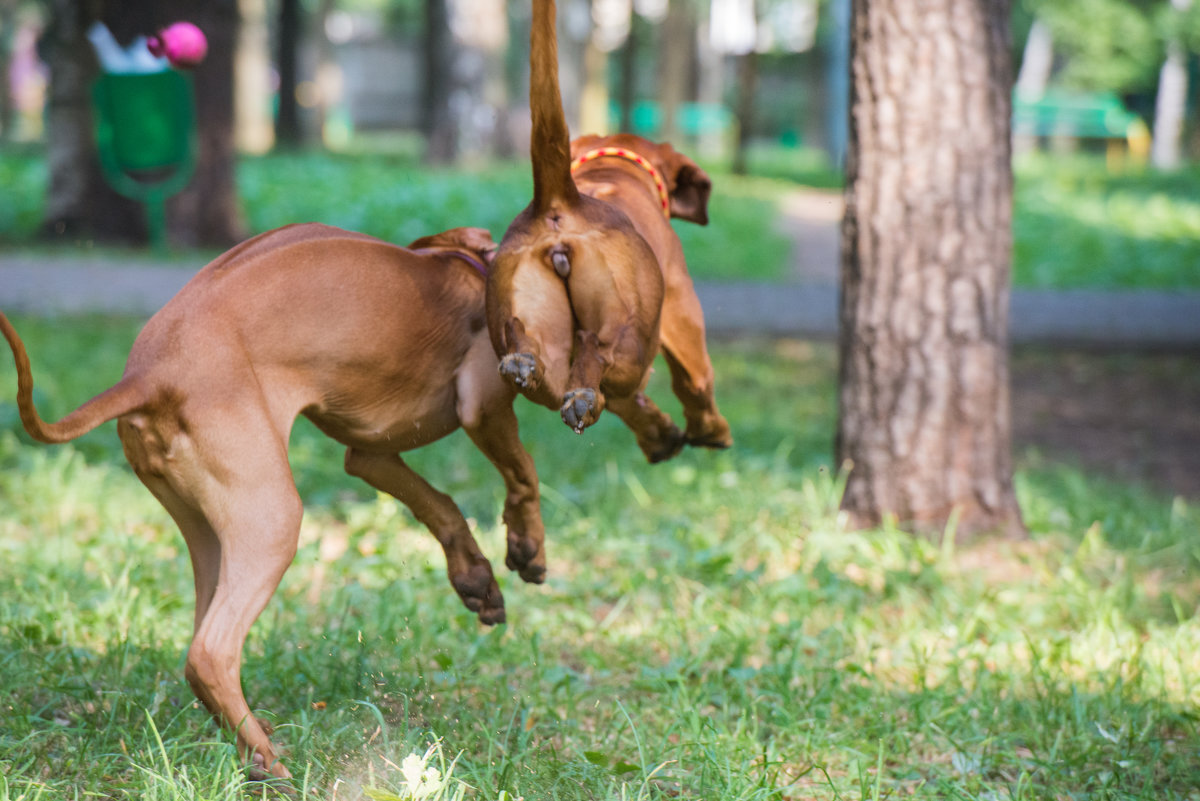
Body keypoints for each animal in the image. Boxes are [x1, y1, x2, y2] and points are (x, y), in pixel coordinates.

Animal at [2, 221, 547, 777]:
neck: (468, 267)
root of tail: (148, 377)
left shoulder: (368, 455)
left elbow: (440, 503)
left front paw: (477, 579)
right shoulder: (483, 407)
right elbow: (522, 474)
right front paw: (528, 547)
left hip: (212, 534)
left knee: (200, 646)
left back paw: (250, 749)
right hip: (274, 519)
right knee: (210, 653)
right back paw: (271, 764)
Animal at [484, 0, 729, 462]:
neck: (613, 171)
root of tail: (560, 198)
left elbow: (628, 405)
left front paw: (659, 434)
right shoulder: (682, 310)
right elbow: (695, 380)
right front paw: (708, 429)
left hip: (525, 326)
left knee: (549, 370)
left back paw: (525, 364)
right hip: (634, 340)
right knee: (598, 357)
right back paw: (585, 393)